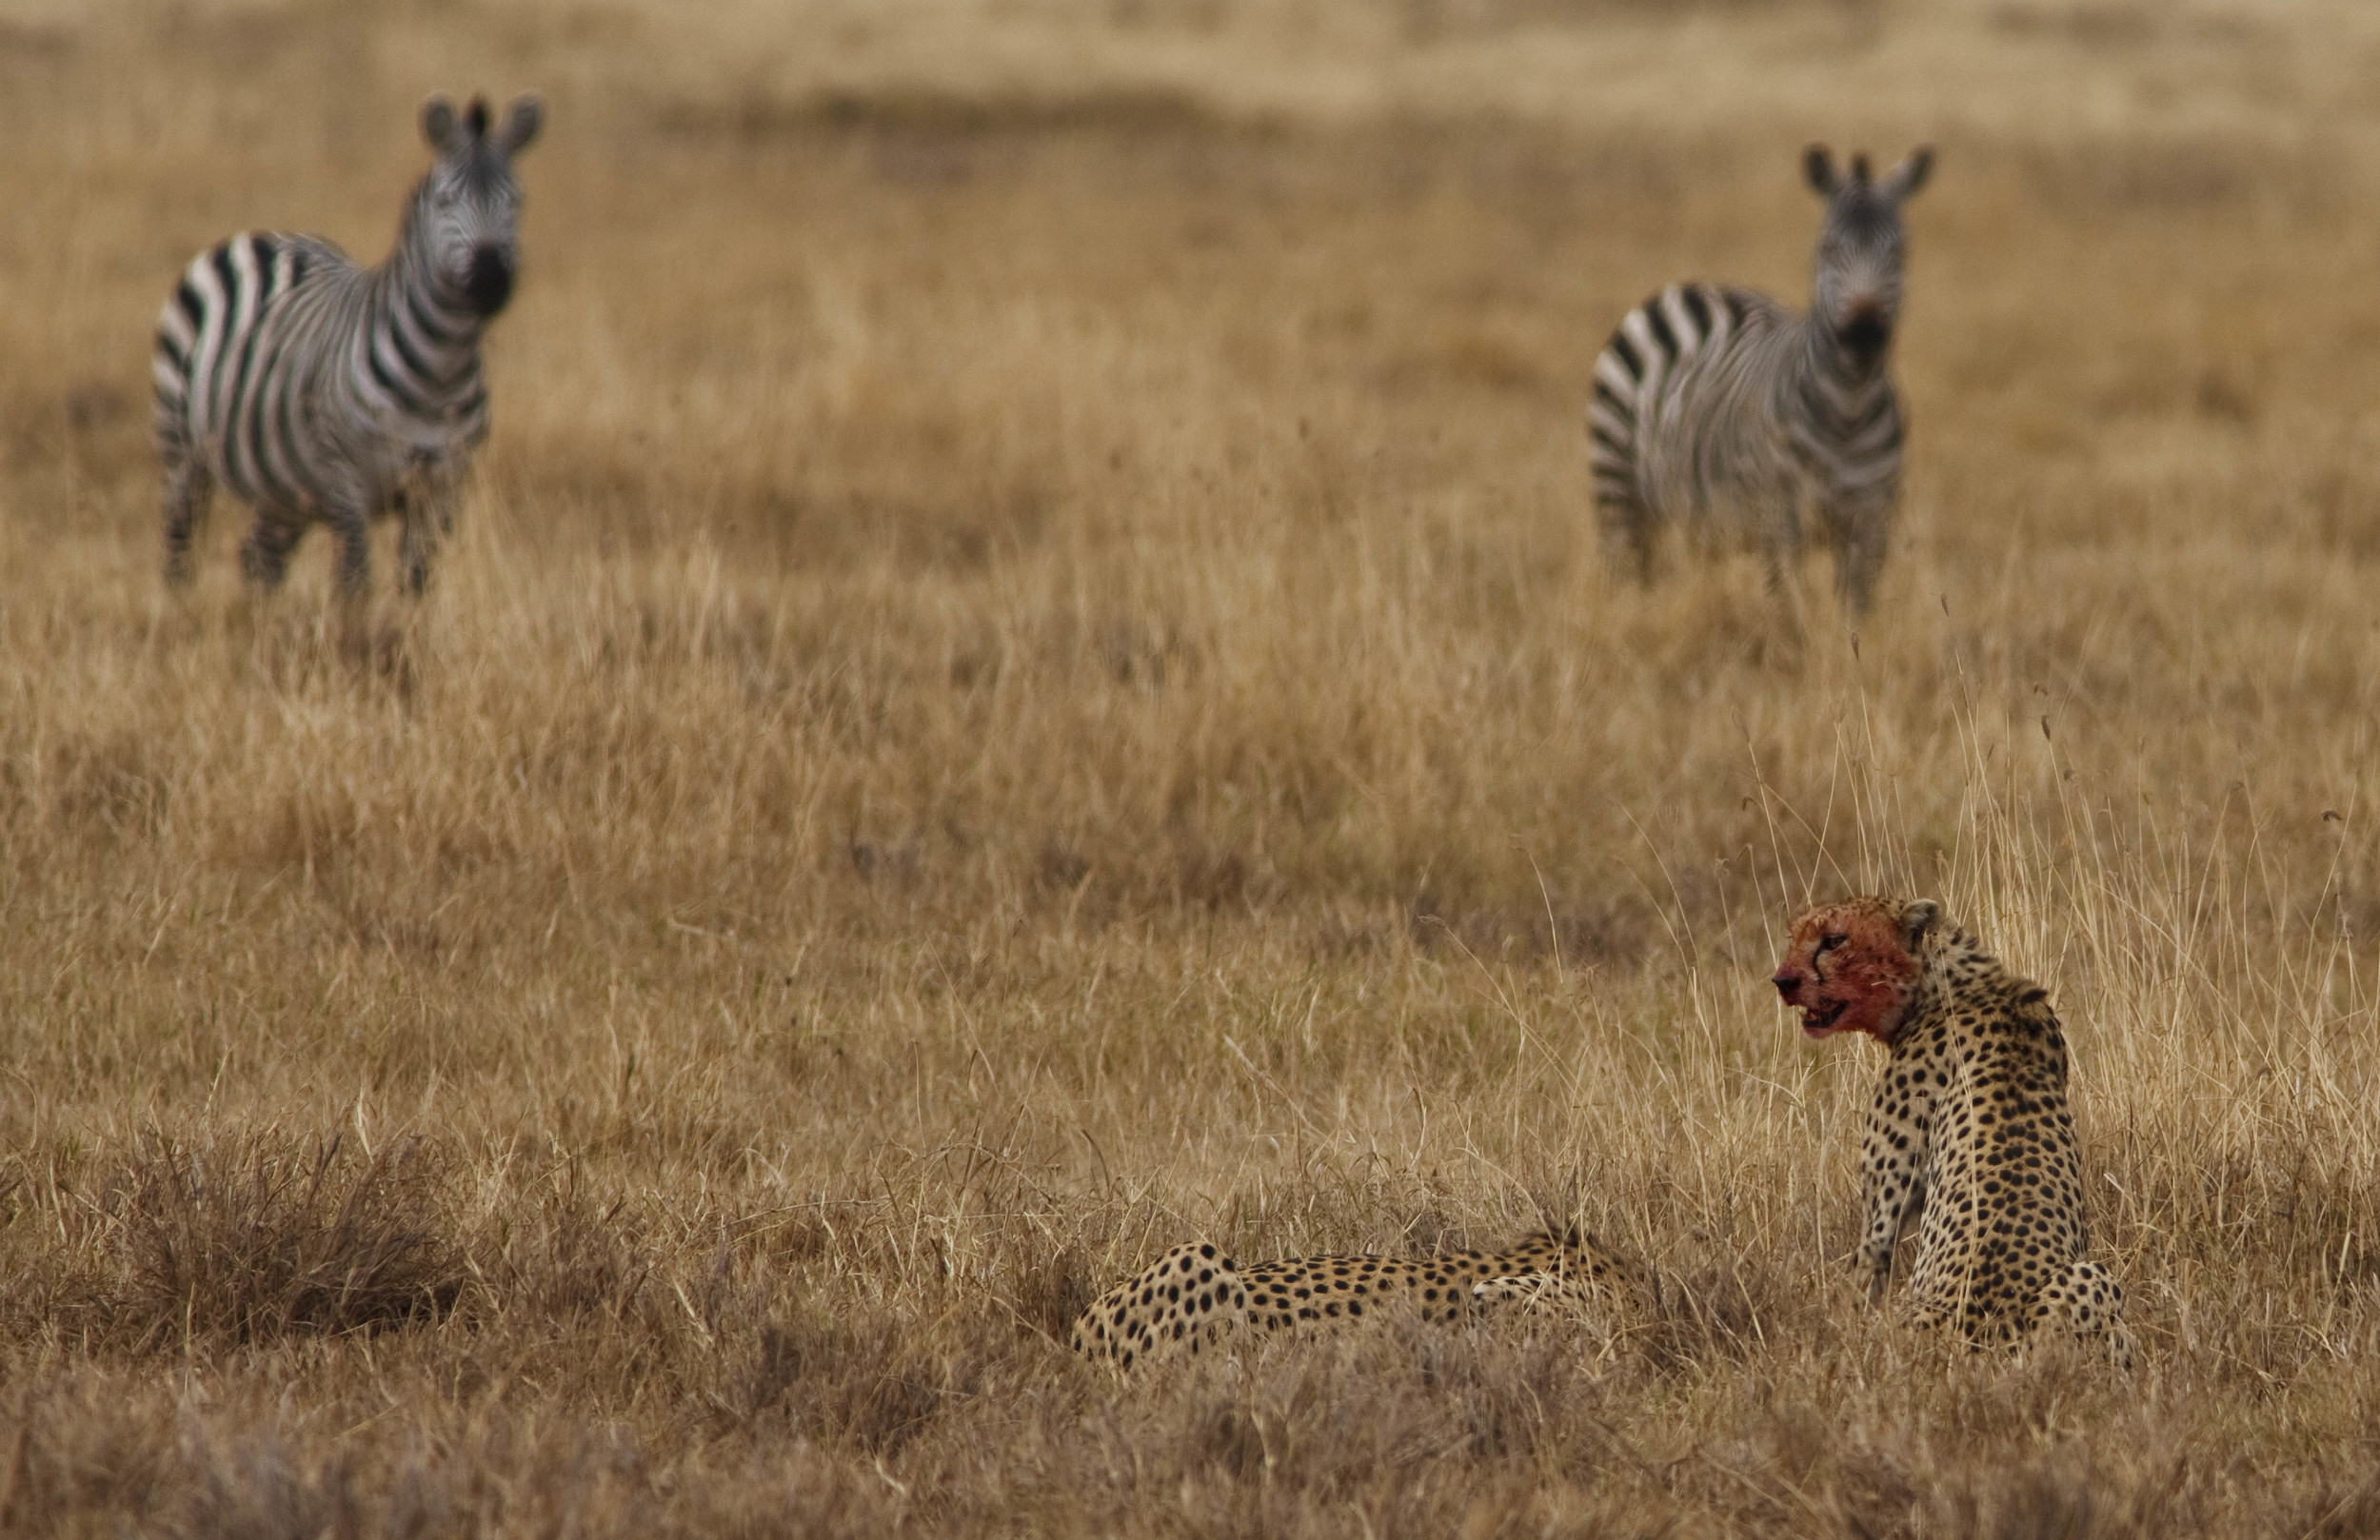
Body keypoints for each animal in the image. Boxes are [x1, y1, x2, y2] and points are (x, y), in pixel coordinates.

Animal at [155, 91, 545, 597]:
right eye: (446, 200)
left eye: (516, 202)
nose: (490, 280)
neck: (440, 370)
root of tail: (263, 234)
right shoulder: (346, 482)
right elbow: (355, 582)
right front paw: (353, 620)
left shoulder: (444, 486)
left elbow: (416, 581)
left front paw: (408, 621)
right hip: (181, 443)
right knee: (179, 545)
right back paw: (177, 610)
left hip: (283, 486)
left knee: (260, 558)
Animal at [1590, 143, 1923, 614]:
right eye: (1828, 248)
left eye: (1899, 251)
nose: (1863, 334)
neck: (1848, 411)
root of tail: (1691, 286)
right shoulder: (1777, 520)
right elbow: (1789, 612)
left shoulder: (1871, 521)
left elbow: (1856, 612)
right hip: (1616, 486)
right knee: (1622, 574)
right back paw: (1624, 618)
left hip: (1698, 512)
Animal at [1771, 899, 2142, 1371]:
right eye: (1795, 936)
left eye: (1834, 940)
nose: (1783, 981)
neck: (1948, 981)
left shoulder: (1887, 1204)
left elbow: (1866, 1265)